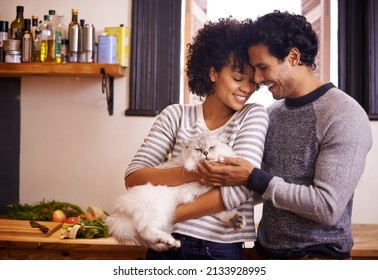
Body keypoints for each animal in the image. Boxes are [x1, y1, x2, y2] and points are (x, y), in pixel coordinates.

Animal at [107, 134, 248, 252]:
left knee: (151, 241)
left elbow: (223, 213)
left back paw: (172, 244)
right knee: (145, 231)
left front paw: (237, 221)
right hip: (158, 211)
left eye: (211, 147)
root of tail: (117, 215)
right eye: (198, 149)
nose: (206, 153)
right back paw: (168, 239)